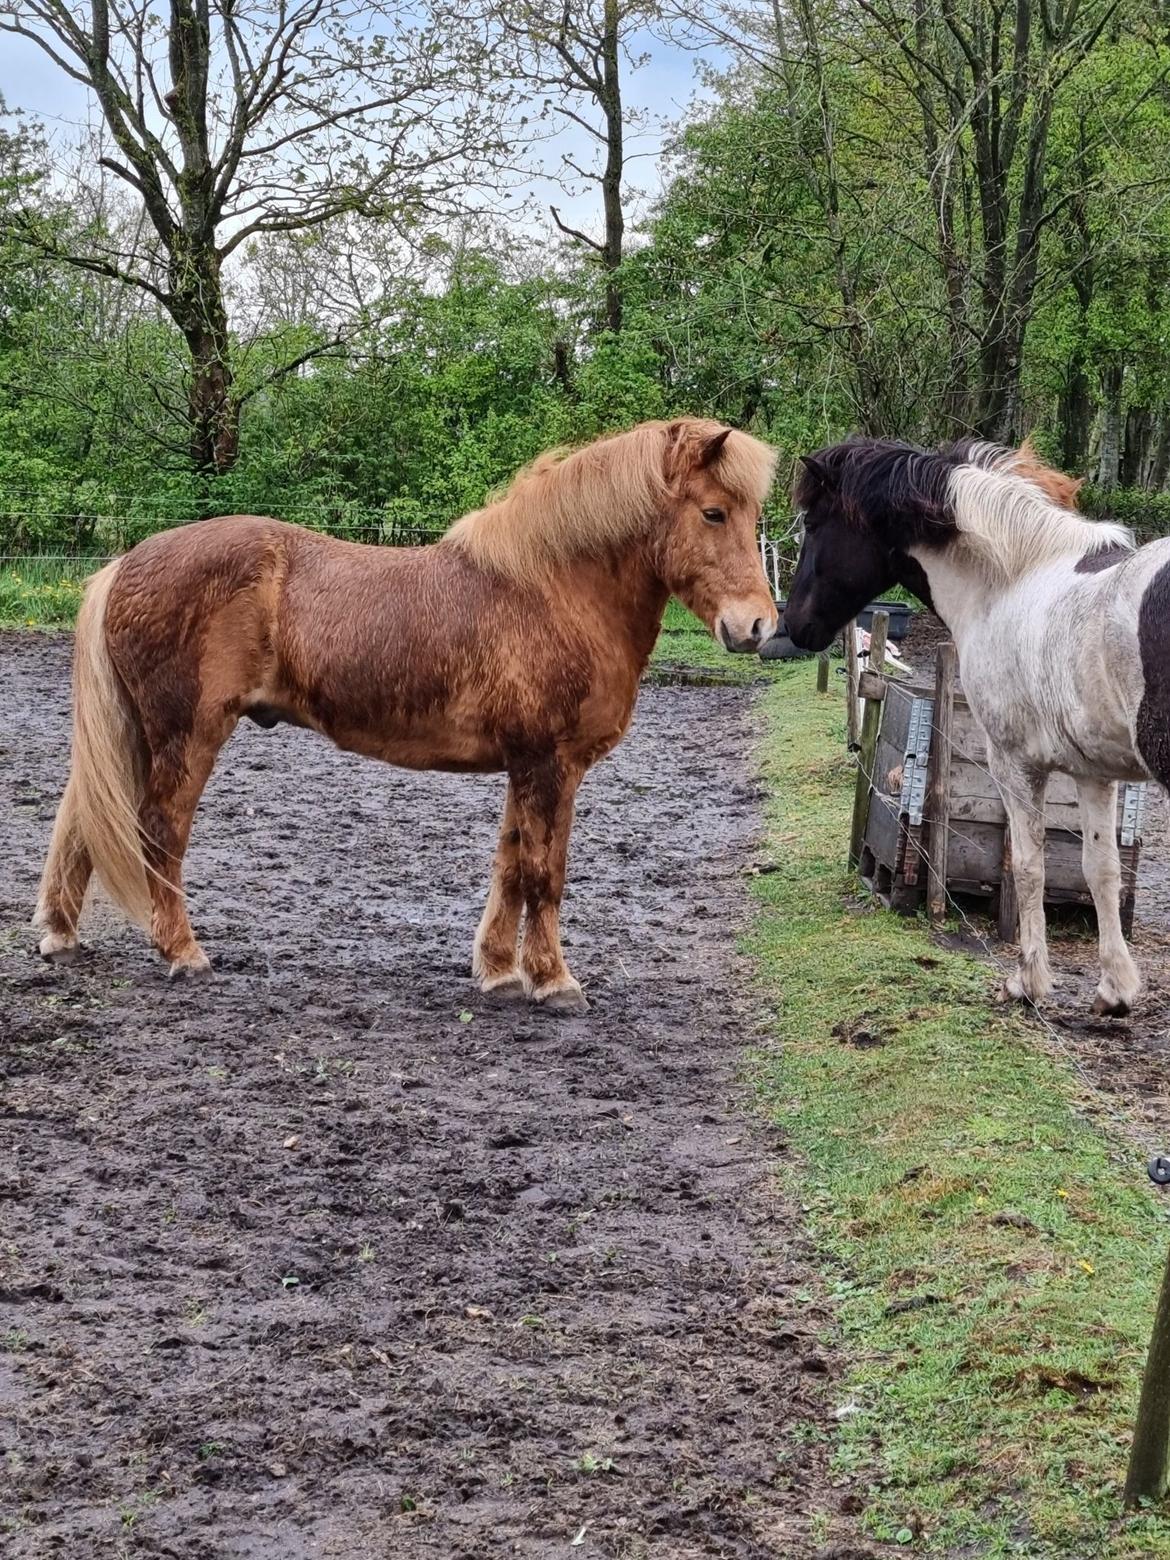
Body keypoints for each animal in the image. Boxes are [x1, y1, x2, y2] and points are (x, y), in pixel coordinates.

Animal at [34, 421, 780, 1017]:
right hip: (187, 735)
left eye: (750, 516)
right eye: (714, 513)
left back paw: (61, 934)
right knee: (159, 832)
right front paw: (554, 981)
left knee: (84, 821)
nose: (757, 626)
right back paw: (182, 953)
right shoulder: (551, 765)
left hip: (140, 734)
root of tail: (128, 561)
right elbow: (544, 872)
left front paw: (498, 972)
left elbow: (510, 866)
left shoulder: (525, 766)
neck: (552, 591)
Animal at [780, 443, 1166, 1023]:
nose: (794, 627)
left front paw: (1028, 982)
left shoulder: (1013, 762)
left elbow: (1027, 865)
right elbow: (1100, 869)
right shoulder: (1092, 773)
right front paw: (1114, 990)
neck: (1012, 582)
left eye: (812, 523)